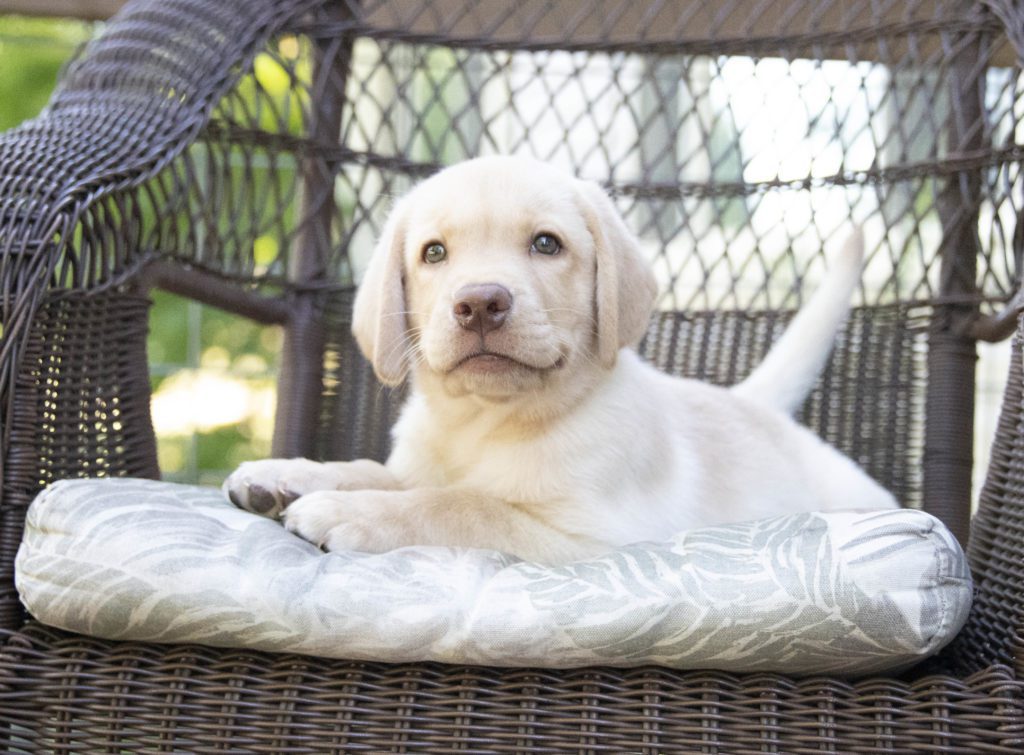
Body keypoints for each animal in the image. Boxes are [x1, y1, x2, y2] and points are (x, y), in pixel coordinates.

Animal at [224, 155, 897, 561]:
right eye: (433, 253)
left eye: (547, 244)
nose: (480, 303)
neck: (483, 421)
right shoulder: (421, 464)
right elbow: (379, 470)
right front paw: (290, 474)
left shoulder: (590, 539)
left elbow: (465, 506)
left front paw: (346, 511)